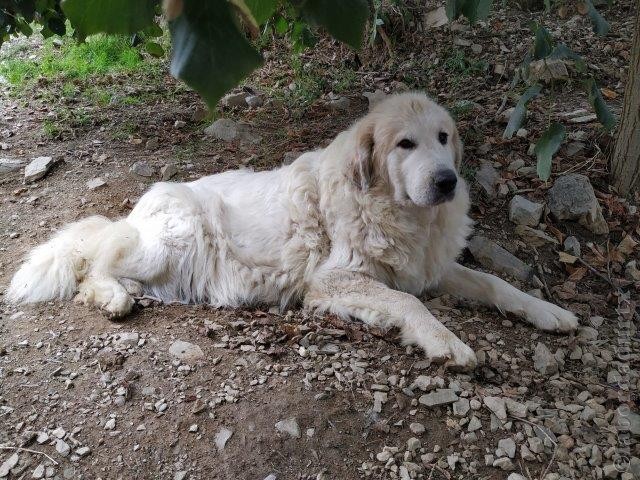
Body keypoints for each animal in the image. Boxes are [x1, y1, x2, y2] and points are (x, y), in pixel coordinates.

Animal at [6, 94, 576, 372]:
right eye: (405, 144)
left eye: (443, 138)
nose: (447, 181)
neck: (395, 210)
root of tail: (137, 209)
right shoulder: (332, 280)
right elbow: (410, 303)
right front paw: (445, 341)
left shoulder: (428, 268)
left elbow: (493, 283)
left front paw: (548, 312)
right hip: (176, 237)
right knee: (94, 263)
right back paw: (112, 297)